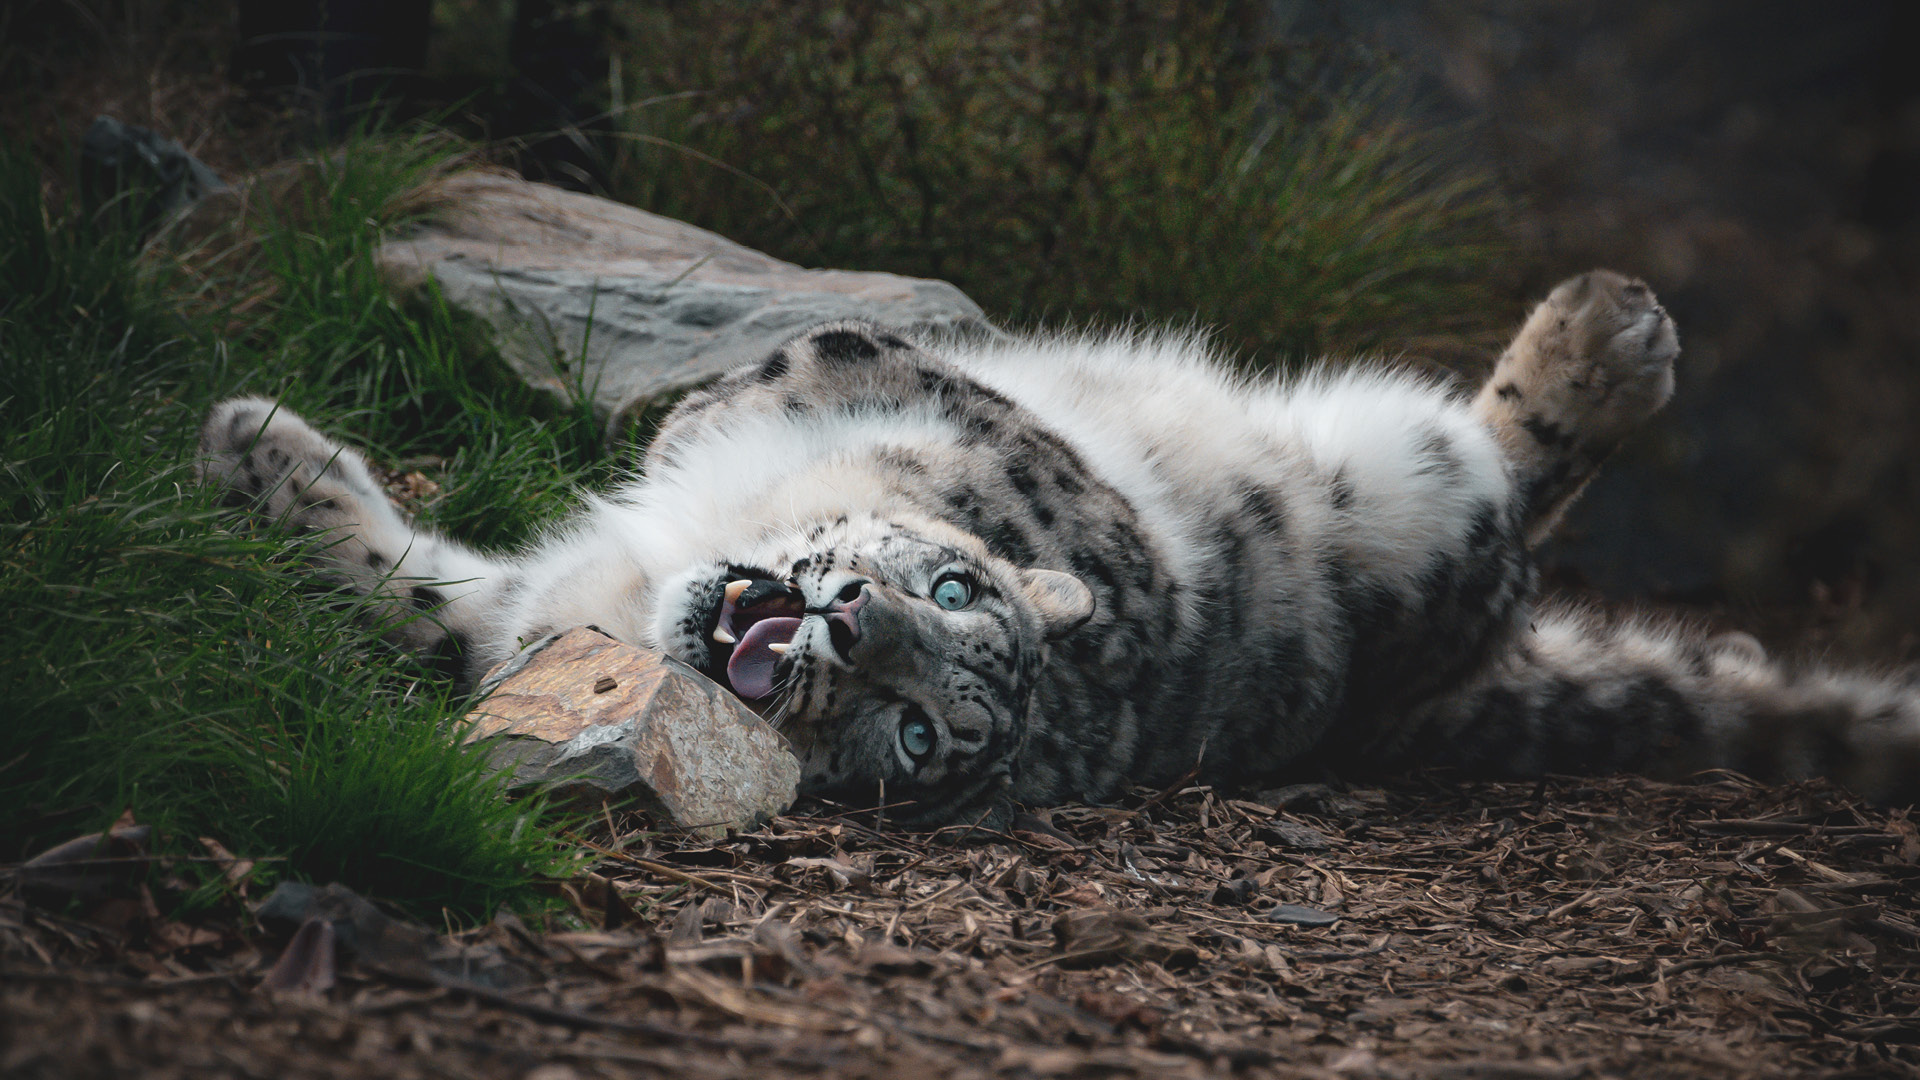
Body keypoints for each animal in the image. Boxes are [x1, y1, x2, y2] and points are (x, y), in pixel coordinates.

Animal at [198, 270, 1920, 828]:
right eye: (945, 586)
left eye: (914, 735)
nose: (842, 623)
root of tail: (1425, 701)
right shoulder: (519, 622)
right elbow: (419, 601)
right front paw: (259, 456)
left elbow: (837, 362)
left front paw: (706, 412)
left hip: (1421, 498)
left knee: (1510, 473)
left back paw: (1608, 336)